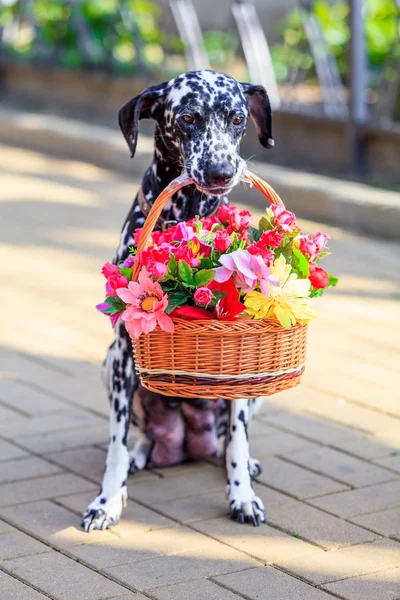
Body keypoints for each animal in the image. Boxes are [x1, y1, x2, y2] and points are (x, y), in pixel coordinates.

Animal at [83, 68, 274, 532]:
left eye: (238, 118)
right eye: (187, 117)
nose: (222, 171)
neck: (187, 215)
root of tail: (187, 440)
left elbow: (238, 442)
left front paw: (242, 496)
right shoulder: (123, 354)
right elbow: (115, 445)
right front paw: (107, 502)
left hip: (255, 391)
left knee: (227, 442)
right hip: (108, 369)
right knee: (141, 440)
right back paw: (141, 454)